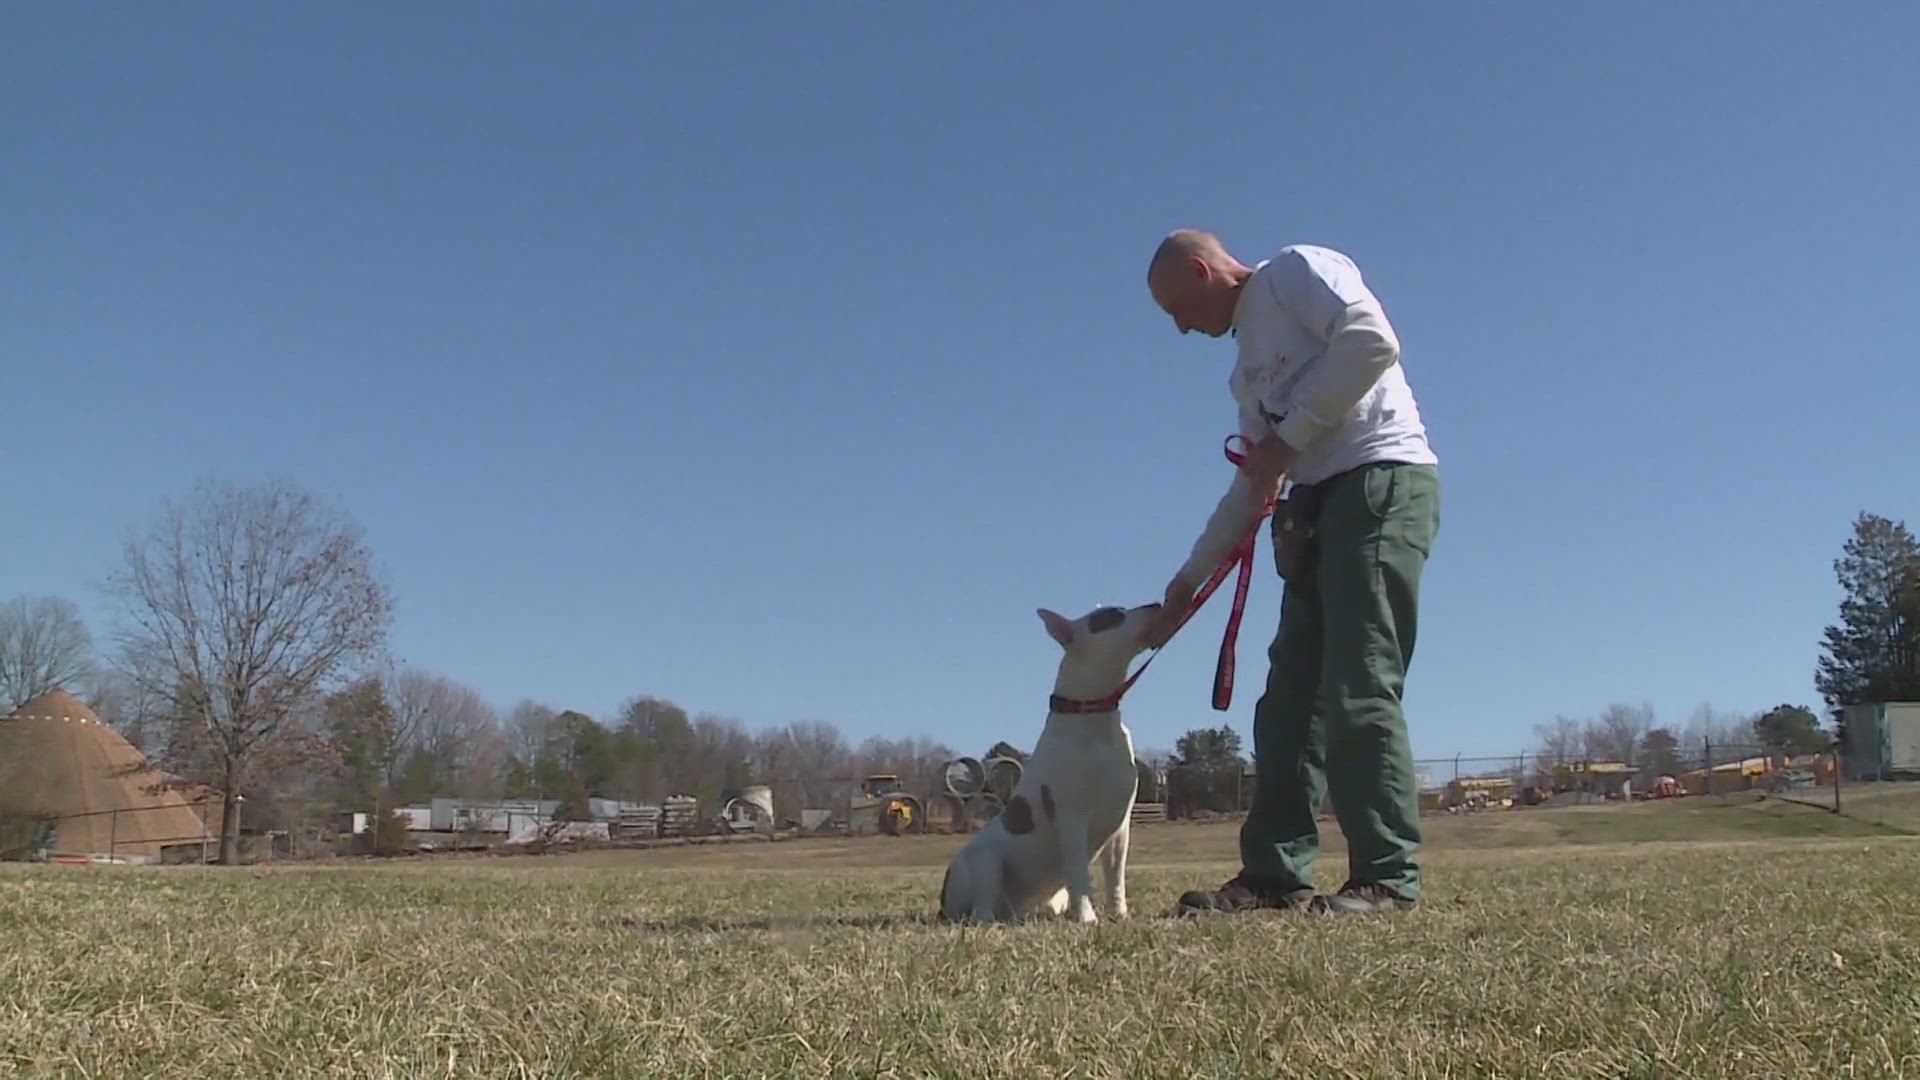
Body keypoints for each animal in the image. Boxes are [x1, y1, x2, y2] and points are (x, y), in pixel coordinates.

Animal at [940, 599, 1159, 922]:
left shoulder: (1120, 828)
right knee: (981, 907)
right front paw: (1088, 918)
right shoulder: (1072, 820)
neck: (1093, 715)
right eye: (1113, 616)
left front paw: (1119, 916)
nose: (1156, 604)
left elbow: (1115, 877)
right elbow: (1079, 874)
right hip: (984, 862)